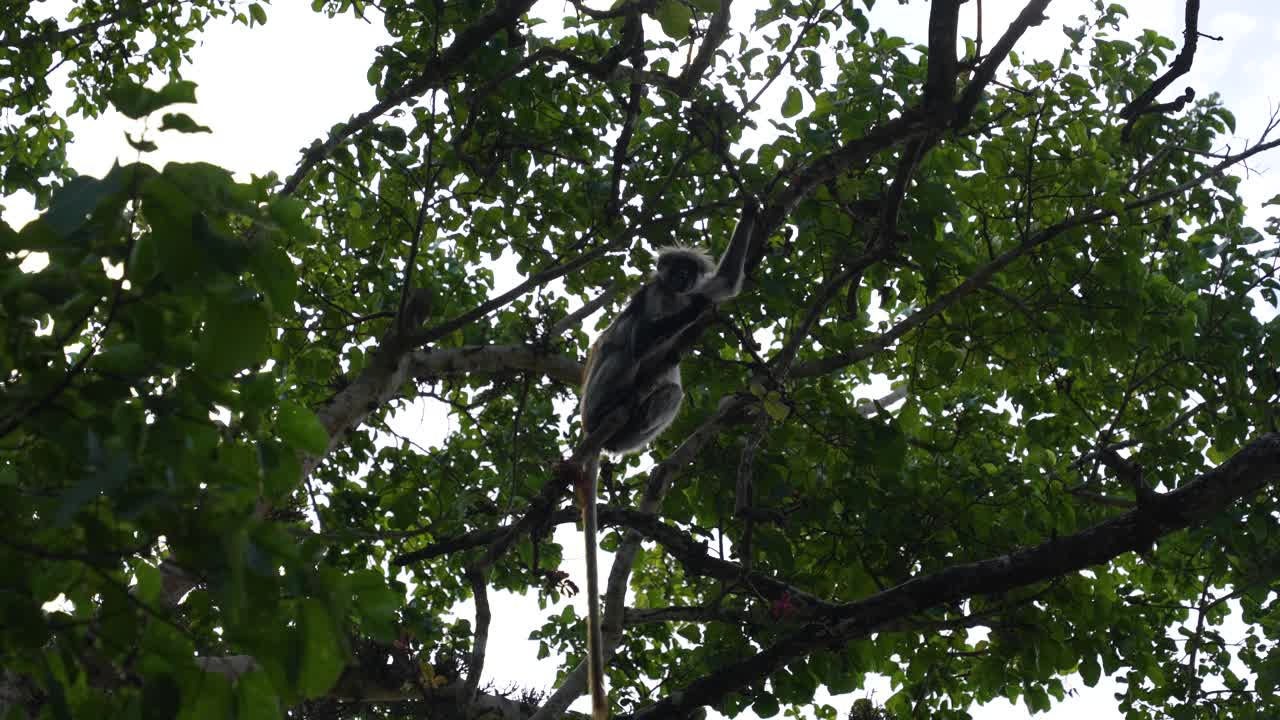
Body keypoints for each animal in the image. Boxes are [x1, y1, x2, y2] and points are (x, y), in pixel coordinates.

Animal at [573, 197, 758, 720]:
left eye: (686, 271)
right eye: (672, 270)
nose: (679, 280)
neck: (672, 299)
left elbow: (727, 284)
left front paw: (753, 207)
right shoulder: (648, 296)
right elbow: (638, 336)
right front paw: (694, 309)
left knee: (672, 387)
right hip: (598, 392)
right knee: (622, 345)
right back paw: (614, 405)